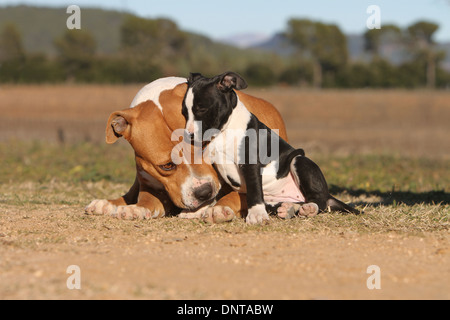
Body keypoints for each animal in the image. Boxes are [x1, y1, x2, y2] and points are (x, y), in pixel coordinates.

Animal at [84, 77, 286, 222]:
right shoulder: (151, 185)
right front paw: (137, 208)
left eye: (205, 145)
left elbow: (237, 196)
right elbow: (146, 199)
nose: (204, 192)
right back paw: (107, 204)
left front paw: (219, 208)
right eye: (166, 166)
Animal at [181, 71, 360, 224]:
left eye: (202, 109)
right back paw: (289, 208)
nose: (188, 135)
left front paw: (256, 215)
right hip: (274, 199)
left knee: (319, 200)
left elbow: (254, 189)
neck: (223, 131)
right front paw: (197, 210)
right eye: (184, 113)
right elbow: (213, 191)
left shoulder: (250, 163)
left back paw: (309, 208)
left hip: (299, 161)